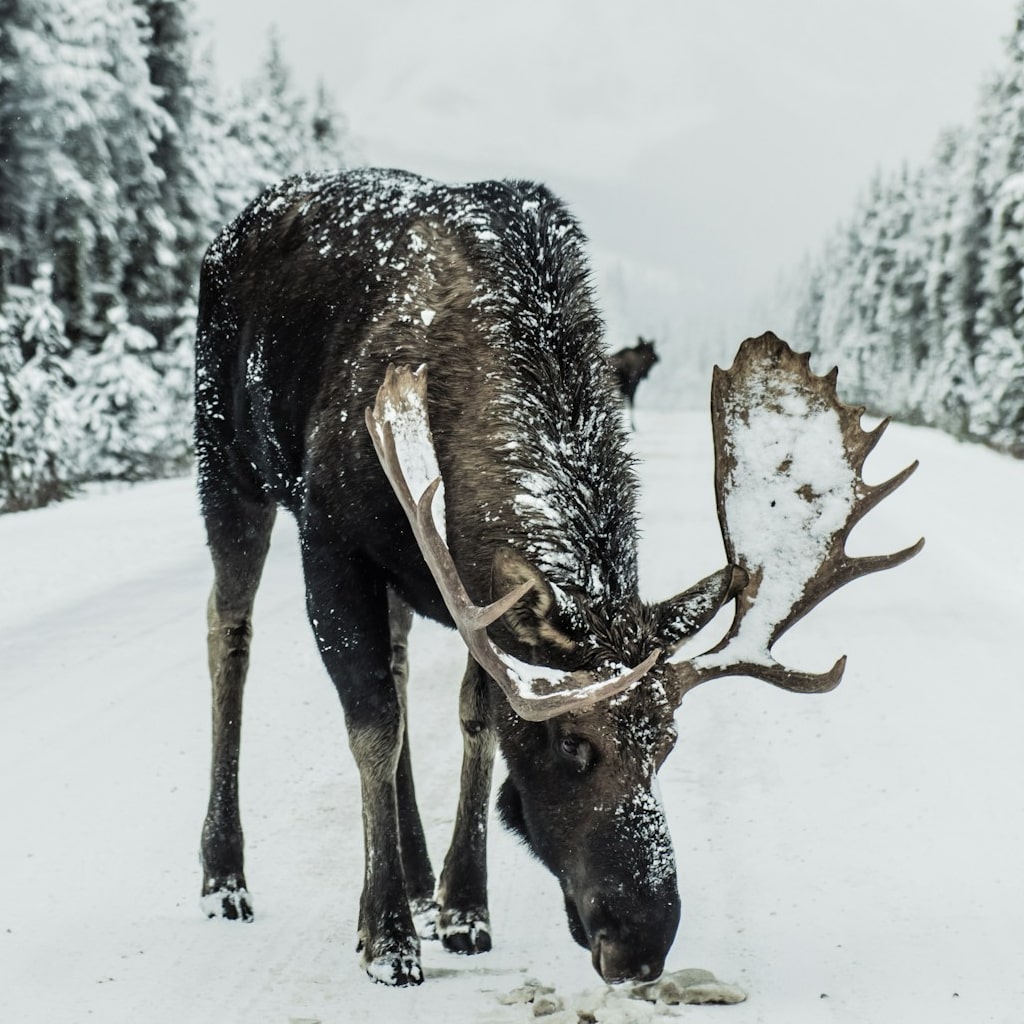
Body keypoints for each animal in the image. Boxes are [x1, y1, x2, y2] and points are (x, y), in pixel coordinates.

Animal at [193, 167, 922, 987]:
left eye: (669, 743)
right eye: (574, 744)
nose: (641, 943)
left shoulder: (467, 589)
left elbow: (475, 718)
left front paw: (463, 906)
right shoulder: (330, 535)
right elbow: (372, 725)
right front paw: (385, 938)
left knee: (399, 663)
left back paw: (416, 875)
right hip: (226, 463)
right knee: (230, 632)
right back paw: (225, 877)